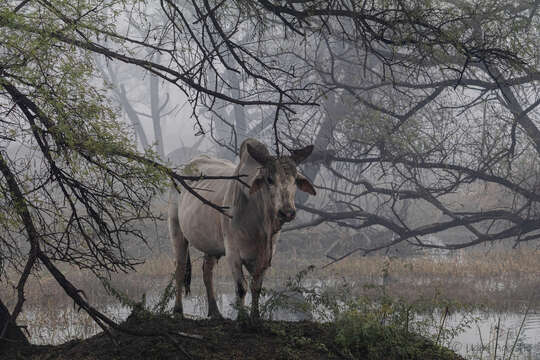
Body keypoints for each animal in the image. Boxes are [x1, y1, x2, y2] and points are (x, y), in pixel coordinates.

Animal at [170, 139, 316, 320]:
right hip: (176, 229)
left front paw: (255, 316)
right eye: (269, 179)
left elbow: (256, 287)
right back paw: (178, 311)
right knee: (180, 269)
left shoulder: (265, 256)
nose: (287, 212)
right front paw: (242, 317)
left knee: (207, 272)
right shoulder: (233, 253)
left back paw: (215, 312)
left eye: (295, 179)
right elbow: (241, 287)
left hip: (210, 245)